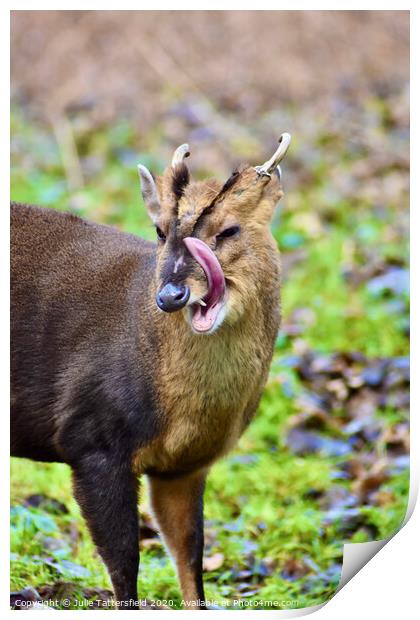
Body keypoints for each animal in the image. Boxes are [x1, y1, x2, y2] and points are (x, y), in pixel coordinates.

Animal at [10, 132, 292, 612]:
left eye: (229, 230)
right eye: (160, 231)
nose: (171, 294)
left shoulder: (185, 465)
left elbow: (190, 560)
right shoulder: (92, 439)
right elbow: (124, 564)